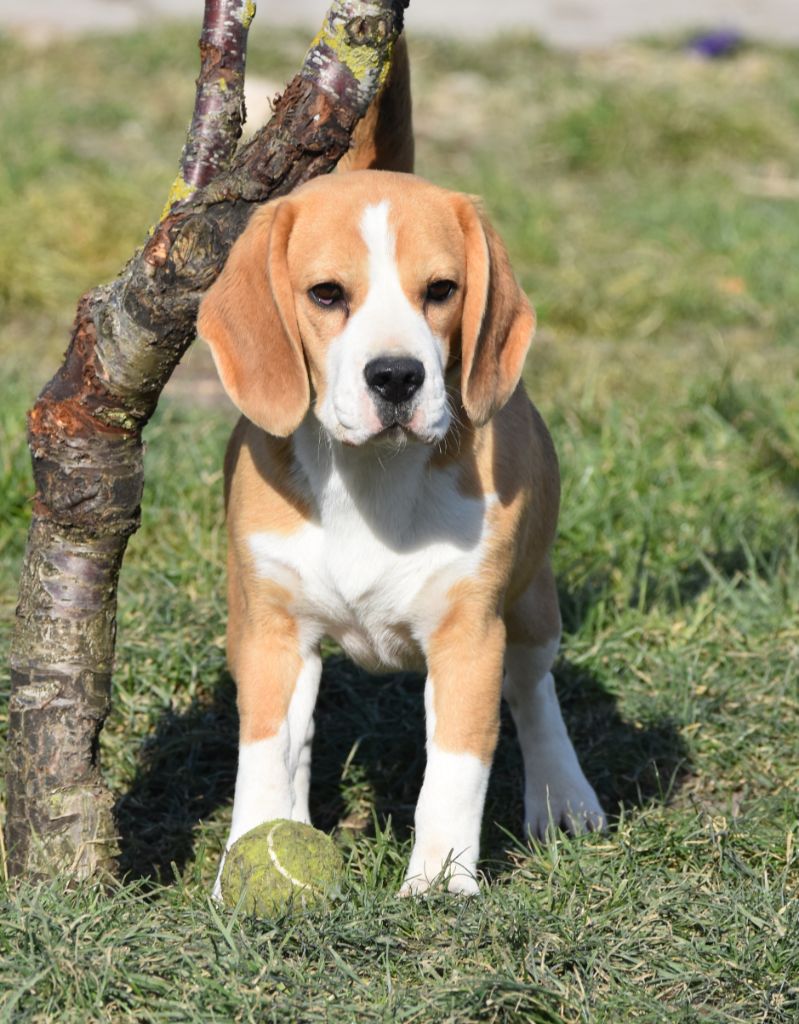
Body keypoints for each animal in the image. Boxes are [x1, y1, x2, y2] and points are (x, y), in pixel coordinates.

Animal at [196, 39, 602, 892]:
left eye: (441, 290)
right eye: (325, 294)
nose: (395, 377)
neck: (372, 478)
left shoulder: (468, 636)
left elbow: (453, 770)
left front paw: (439, 885)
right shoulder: (271, 631)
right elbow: (267, 755)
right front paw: (249, 860)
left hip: (530, 603)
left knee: (533, 689)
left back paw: (563, 797)